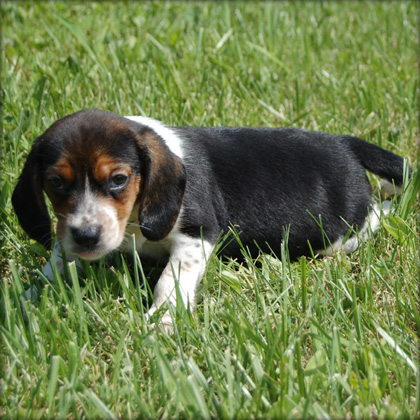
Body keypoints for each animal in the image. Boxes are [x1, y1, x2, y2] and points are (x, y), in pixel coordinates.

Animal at [12, 110, 406, 324]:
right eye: (54, 182)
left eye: (119, 179)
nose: (86, 236)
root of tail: (346, 143)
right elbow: (54, 267)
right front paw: (25, 298)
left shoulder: (195, 235)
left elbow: (168, 282)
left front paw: (160, 321)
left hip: (341, 232)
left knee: (372, 219)